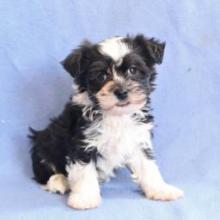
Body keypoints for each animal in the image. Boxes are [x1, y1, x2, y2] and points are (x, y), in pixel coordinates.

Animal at [29, 34, 184, 210]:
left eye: (133, 70)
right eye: (101, 76)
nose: (122, 92)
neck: (116, 115)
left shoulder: (137, 137)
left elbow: (147, 165)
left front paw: (161, 189)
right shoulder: (82, 142)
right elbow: (84, 171)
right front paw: (85, 198)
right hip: (45, 142)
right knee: (44, 170)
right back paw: (58, 181)